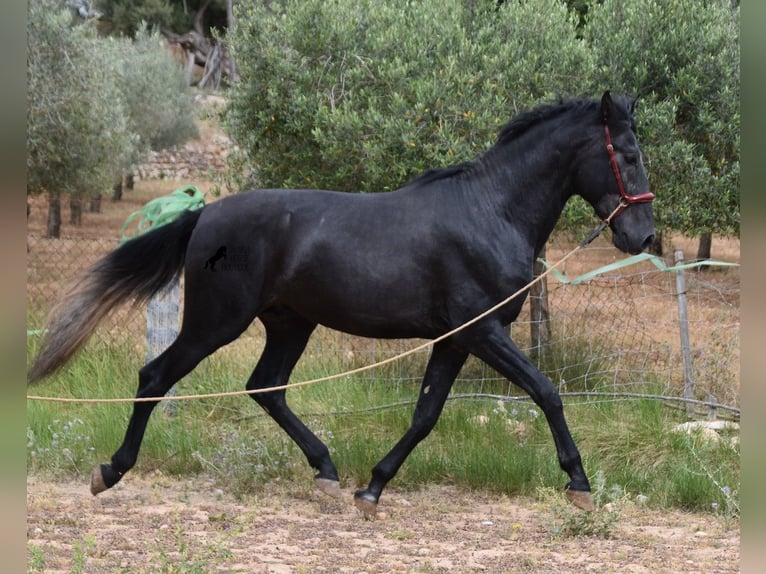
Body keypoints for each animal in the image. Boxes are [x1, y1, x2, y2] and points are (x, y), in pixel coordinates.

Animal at [30, 92, 656, 520]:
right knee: (156, 376)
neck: (490, 212)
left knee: (266, 387)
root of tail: (205, 214)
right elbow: (547, 392)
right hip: (217, 322)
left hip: (290, 324)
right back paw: (110, 471)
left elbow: (425, 415)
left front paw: (371, 488)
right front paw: (579, 484)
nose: (643, 236)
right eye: (626, 153)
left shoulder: (458, 339)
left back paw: (327, 471)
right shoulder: (482, 333)